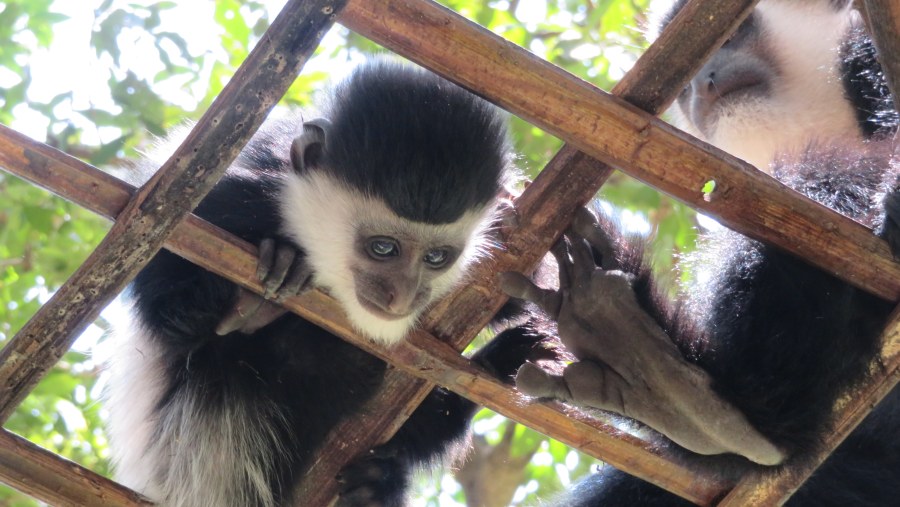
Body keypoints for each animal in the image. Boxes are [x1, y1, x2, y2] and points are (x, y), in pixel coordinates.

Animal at [103, 59, 540, 507]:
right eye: (383, 247)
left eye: (436, 258)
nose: (401, 298)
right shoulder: (231, 190)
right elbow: (162, 279)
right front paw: (280, 261)